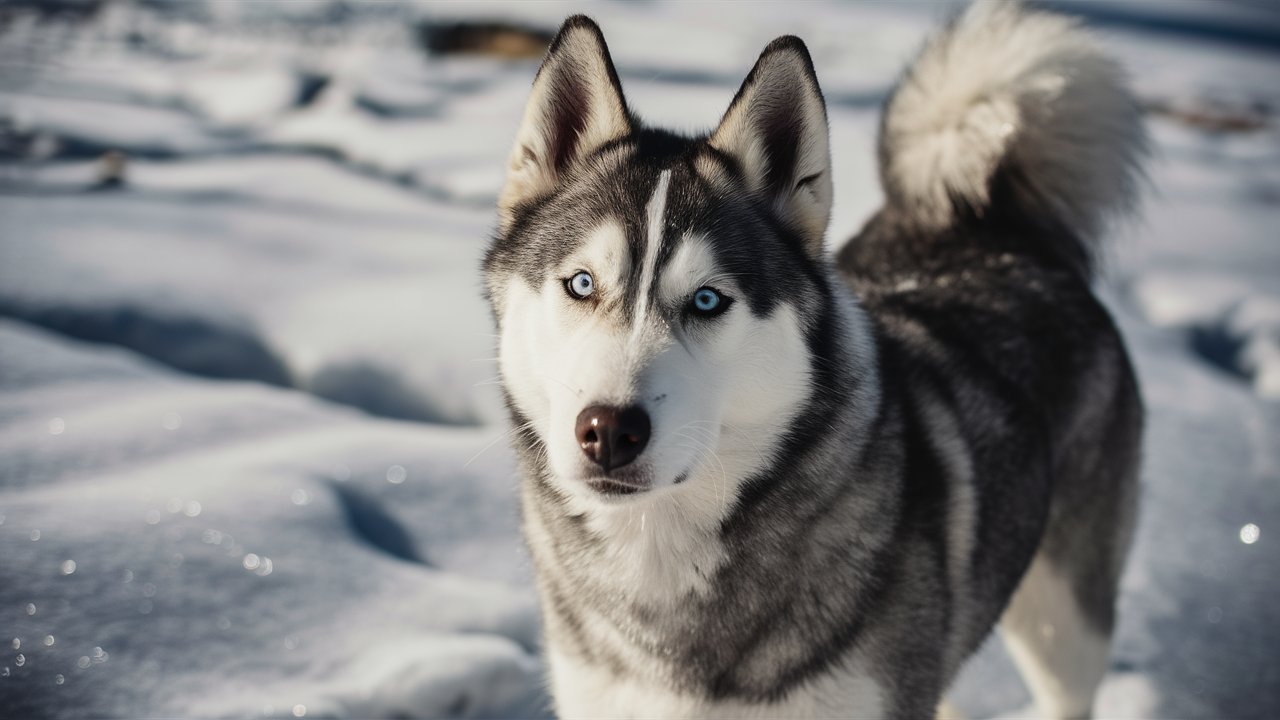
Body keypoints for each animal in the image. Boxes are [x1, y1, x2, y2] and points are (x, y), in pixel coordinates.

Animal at [483, 2, 1146, 712]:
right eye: (581, 284)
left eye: (708, 299)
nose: (608, 430)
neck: (660, 552)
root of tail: (987, 227)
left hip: (1065, 631)